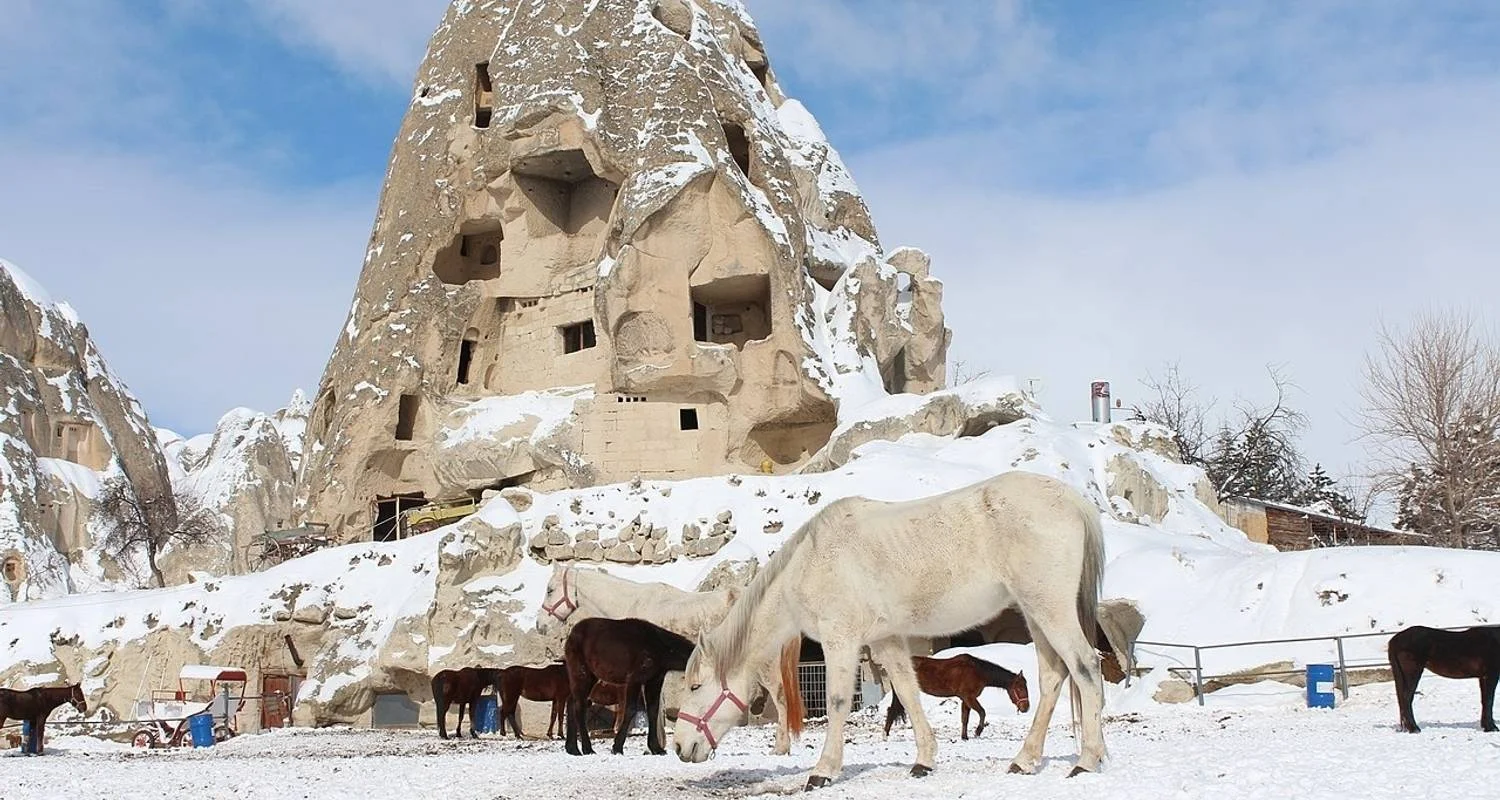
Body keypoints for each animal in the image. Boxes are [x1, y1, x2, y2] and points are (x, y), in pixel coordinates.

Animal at [537, 564, 798, 754]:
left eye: (549, 590)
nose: (540, 625)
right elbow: (655, 708)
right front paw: (656, 746)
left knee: (781, 698)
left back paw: (780, 747)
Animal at [884, 654, 1030, 740]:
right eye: (1019, 688)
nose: (1026, 708)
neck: (978, 671)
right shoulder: (970, 698)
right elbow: (982, 712)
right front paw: (978, 731)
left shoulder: (965, 700)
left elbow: (965, 719)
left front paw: (964, 737)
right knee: (891, 710)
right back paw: (885, 735)